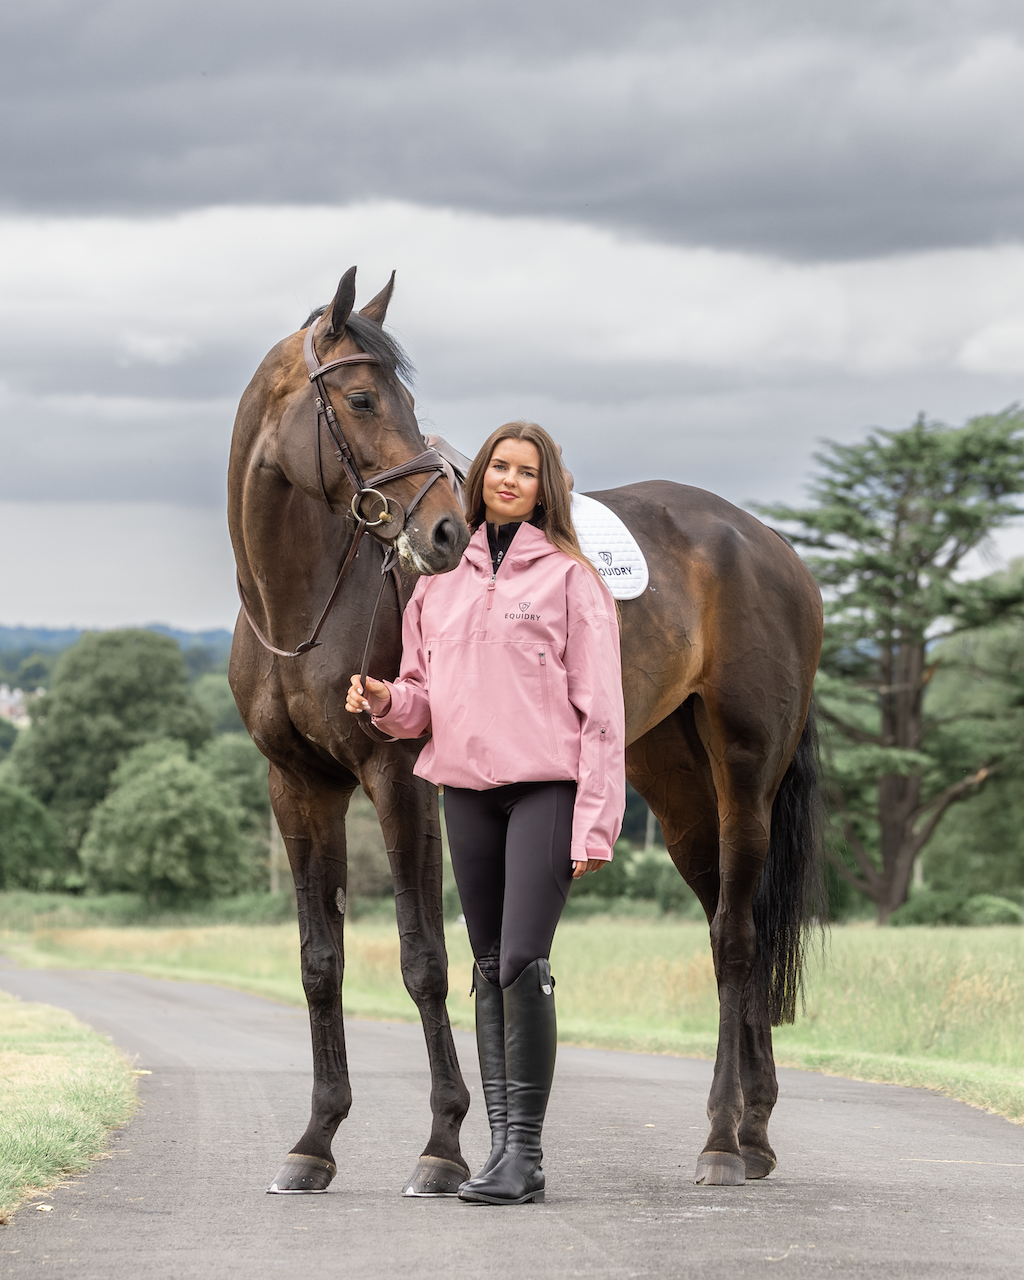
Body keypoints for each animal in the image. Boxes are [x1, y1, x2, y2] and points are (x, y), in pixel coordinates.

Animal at [228, 267, 823, 1195]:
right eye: (361, 397)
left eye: (404, 398)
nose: (442, 531)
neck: (306, 602)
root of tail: (767, 546)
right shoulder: (298, 789)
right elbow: (320, 962)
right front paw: (315, 1141)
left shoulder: (399, 783)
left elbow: (424, 960)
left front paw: (441, 1146)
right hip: (677, 788)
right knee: (741, 930)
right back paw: (755, 1133)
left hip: (745, 772)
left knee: (735, 937)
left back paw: (724, 1142)